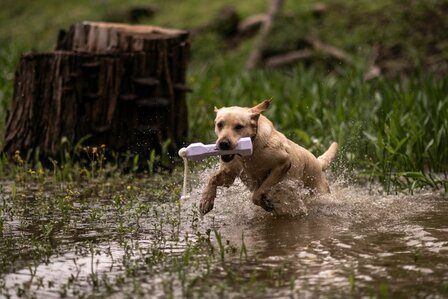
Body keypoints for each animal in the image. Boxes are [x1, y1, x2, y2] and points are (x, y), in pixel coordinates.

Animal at [201, 101, 338, 216]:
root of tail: (318, 163)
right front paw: (206, 200)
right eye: (219, 124)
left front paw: (265, 203)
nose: (223, 143)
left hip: (319, 192)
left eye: (239, 126)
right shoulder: (229, 175)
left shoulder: (283, 164)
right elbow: (211, 178)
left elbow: (259, 193)